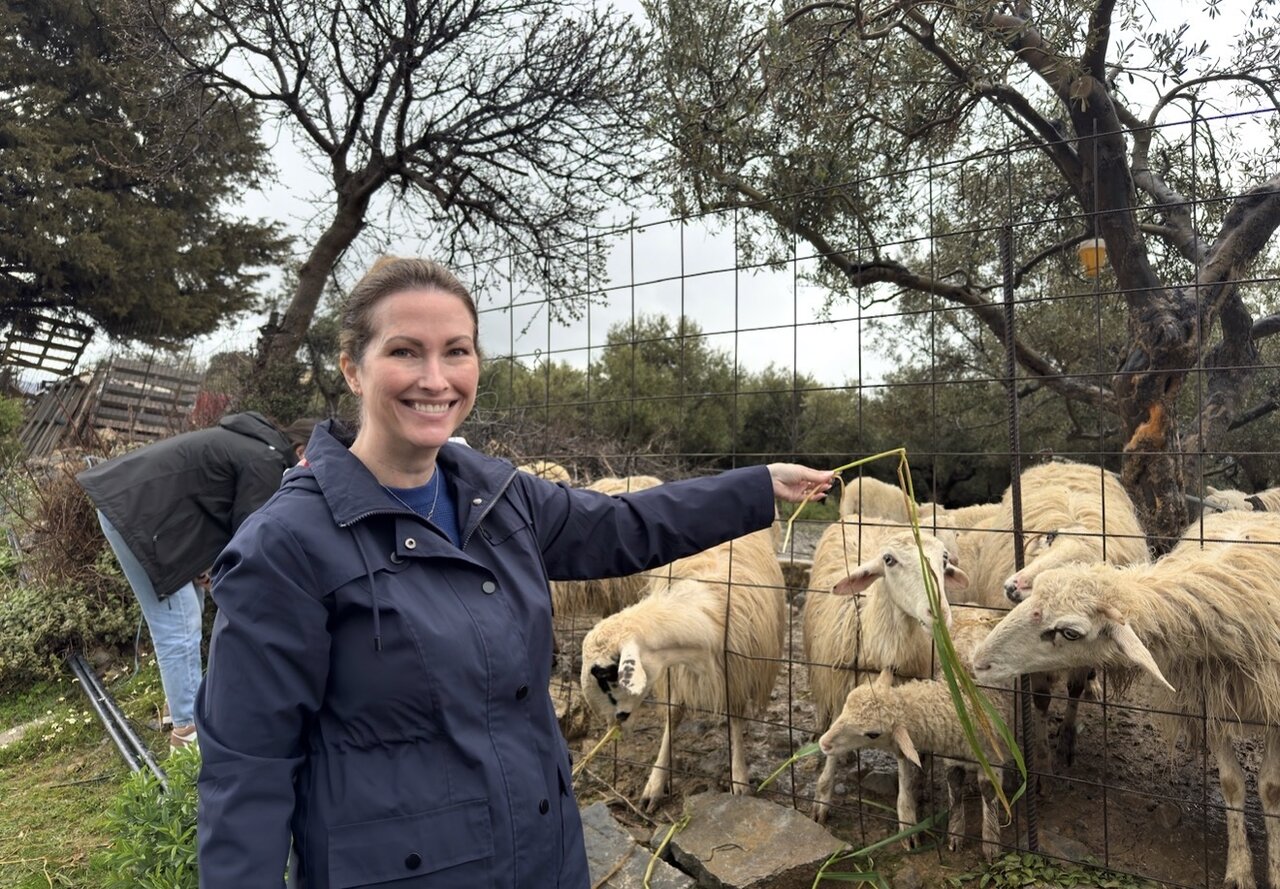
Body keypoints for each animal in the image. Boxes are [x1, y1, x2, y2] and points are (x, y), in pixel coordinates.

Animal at [579, 525, 786, 810]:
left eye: (606, 675)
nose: (613, 727)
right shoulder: (675, 672)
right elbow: (674, 715)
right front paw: (655, 784)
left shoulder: (737, 671)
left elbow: (735, 717)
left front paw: (739, 778)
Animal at [802, 516, 970, 823]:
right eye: (889, 560)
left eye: (943, 559)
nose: (938, 612)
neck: (887, 652)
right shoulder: (842, 687)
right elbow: (831, 749)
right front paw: (821, 800)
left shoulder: (901, 708)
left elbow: (905, 758)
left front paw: (908, 815)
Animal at [818, 669, 1009, 860]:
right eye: (847, 701)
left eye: (873, 734)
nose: (824, 743)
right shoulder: (953, 755)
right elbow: (954, 784)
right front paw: (955, 834)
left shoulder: (992, 755)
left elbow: (989, 790)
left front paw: (991, 842)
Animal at [972, 509, 1280, 889]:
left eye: (1069, 632)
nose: (978, 660)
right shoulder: (1211, 704)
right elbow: (1232, 784)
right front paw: (1239, 870)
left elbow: (1270, 788)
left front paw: (1275, 870)